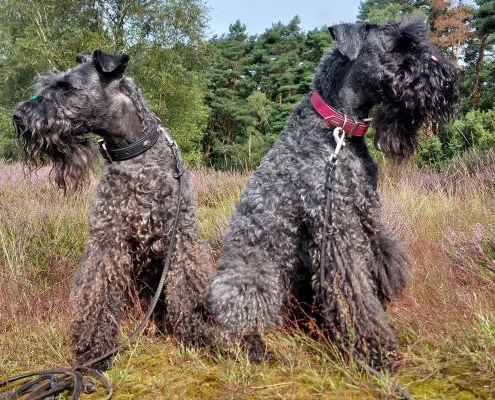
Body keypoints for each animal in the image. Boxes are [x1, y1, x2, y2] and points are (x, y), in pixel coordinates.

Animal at [13, 50, 214, 372]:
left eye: (67, 87)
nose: (18, 116)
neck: (135, 156)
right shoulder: (108, 240)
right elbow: (99, 294)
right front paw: (95, 352)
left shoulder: (181, 237)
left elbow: (186, 285)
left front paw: (196, 334)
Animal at [204, 18, 458, 368]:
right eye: (398, 47)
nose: (449, 77)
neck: (338, 132)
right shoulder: (335, 225)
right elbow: (355, 288)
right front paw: (377, 351)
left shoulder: (365, 210)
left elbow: (380, 259)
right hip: (254, 281)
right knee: (228, 327)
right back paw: (254, 347)